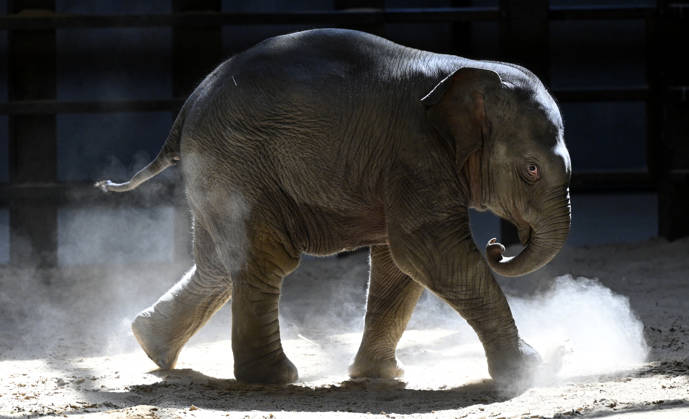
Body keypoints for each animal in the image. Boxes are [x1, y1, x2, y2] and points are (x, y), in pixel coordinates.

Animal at [96, 28, 571, 386]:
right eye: (531, 170)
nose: (498, 246)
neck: (466, 69)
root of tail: (185, 110)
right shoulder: (415, 153)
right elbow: (429, 251)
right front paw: (528, 372)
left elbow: (400, 264)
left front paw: (379, 375)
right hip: (237, 163)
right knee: (264, 258)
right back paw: (274, 378)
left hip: (218, 172)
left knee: (217, 265)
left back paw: (149, 345)